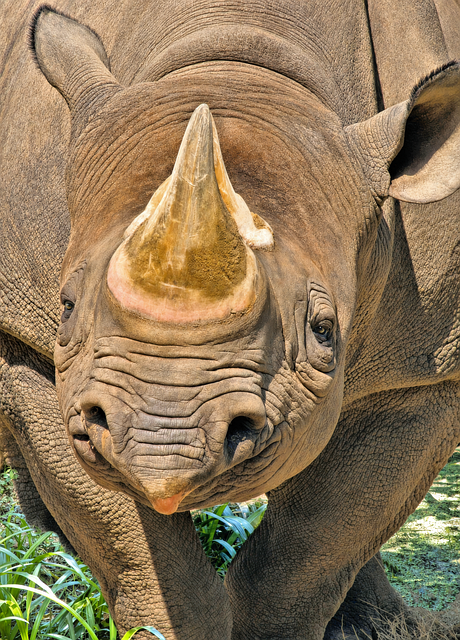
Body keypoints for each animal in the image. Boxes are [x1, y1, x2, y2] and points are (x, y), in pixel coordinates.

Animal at [2, 0, 460, 638]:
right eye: (65, 308)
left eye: (323, 331)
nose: (163, 442)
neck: (238, 56)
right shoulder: (29, 343)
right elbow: (135, 550)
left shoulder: (425, 369)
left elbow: (314, 550)